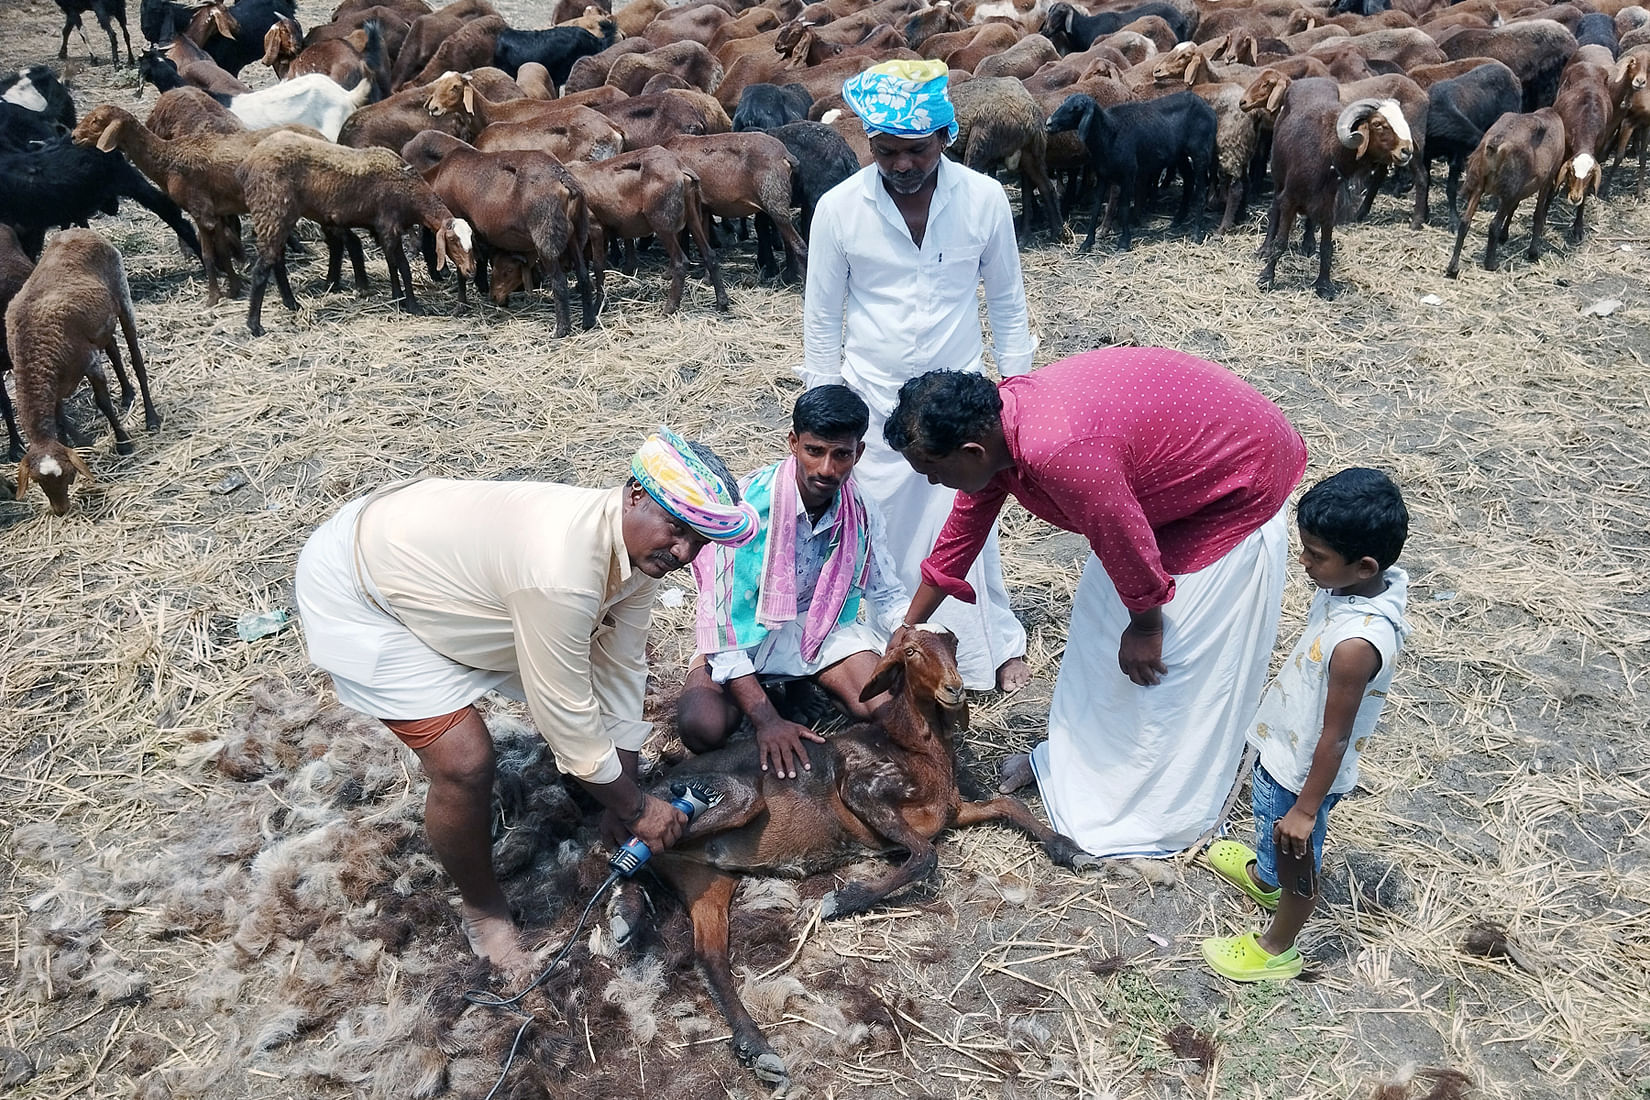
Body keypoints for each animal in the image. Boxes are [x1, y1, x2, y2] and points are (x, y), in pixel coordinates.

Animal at [8, 227, 159, 517]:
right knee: (114, 349)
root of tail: (79, 231)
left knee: (136, 360)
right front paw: (70, 439)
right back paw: (127, 393)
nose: (61, 510)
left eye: (67, 475)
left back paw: (151, 418)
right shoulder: (54, 384)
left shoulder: (89, 362)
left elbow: (103, 403)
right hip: (101, 324)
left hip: (122, 296)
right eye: (38, 482)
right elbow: (58, 415)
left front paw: (123, 443)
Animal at [650, 626, 1102, 1095]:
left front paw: (1074, 851)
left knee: (710, 956)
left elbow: (1008, 806)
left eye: (953, 646)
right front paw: (841, 901)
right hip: (724, 805)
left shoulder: (950, 810)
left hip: (707, 879)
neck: (914, 749)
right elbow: (925, 855)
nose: (955, 688)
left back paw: (758, 1050)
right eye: (912, 652)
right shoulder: (862, 789)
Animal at [1042, 89, 1214, 252]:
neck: (1109, 133)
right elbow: (1096, 208)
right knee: (1189, 179)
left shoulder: (1128, 173)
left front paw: (1124, 242)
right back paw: (1178, 219)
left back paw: (1196, 234)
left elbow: (1124, 207)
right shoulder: (1103, 174)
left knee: (1200, 191)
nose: (1049, 123)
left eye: (1076, 108)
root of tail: (1208, 109)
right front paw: (1087, 243)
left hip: (1199, 151)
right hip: (1180, 154)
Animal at [1254, 80, 1412, 296]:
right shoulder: (1290, 200)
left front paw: (1324, 285)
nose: (1407, 151)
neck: (1329, 152)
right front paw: (1266, 277)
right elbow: (1281, 242)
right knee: (1274, 210)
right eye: (1378, 124)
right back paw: (1265, 248)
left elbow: (1326, 248)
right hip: (1279, 177)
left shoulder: (1330, 206)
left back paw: (1308, 243)